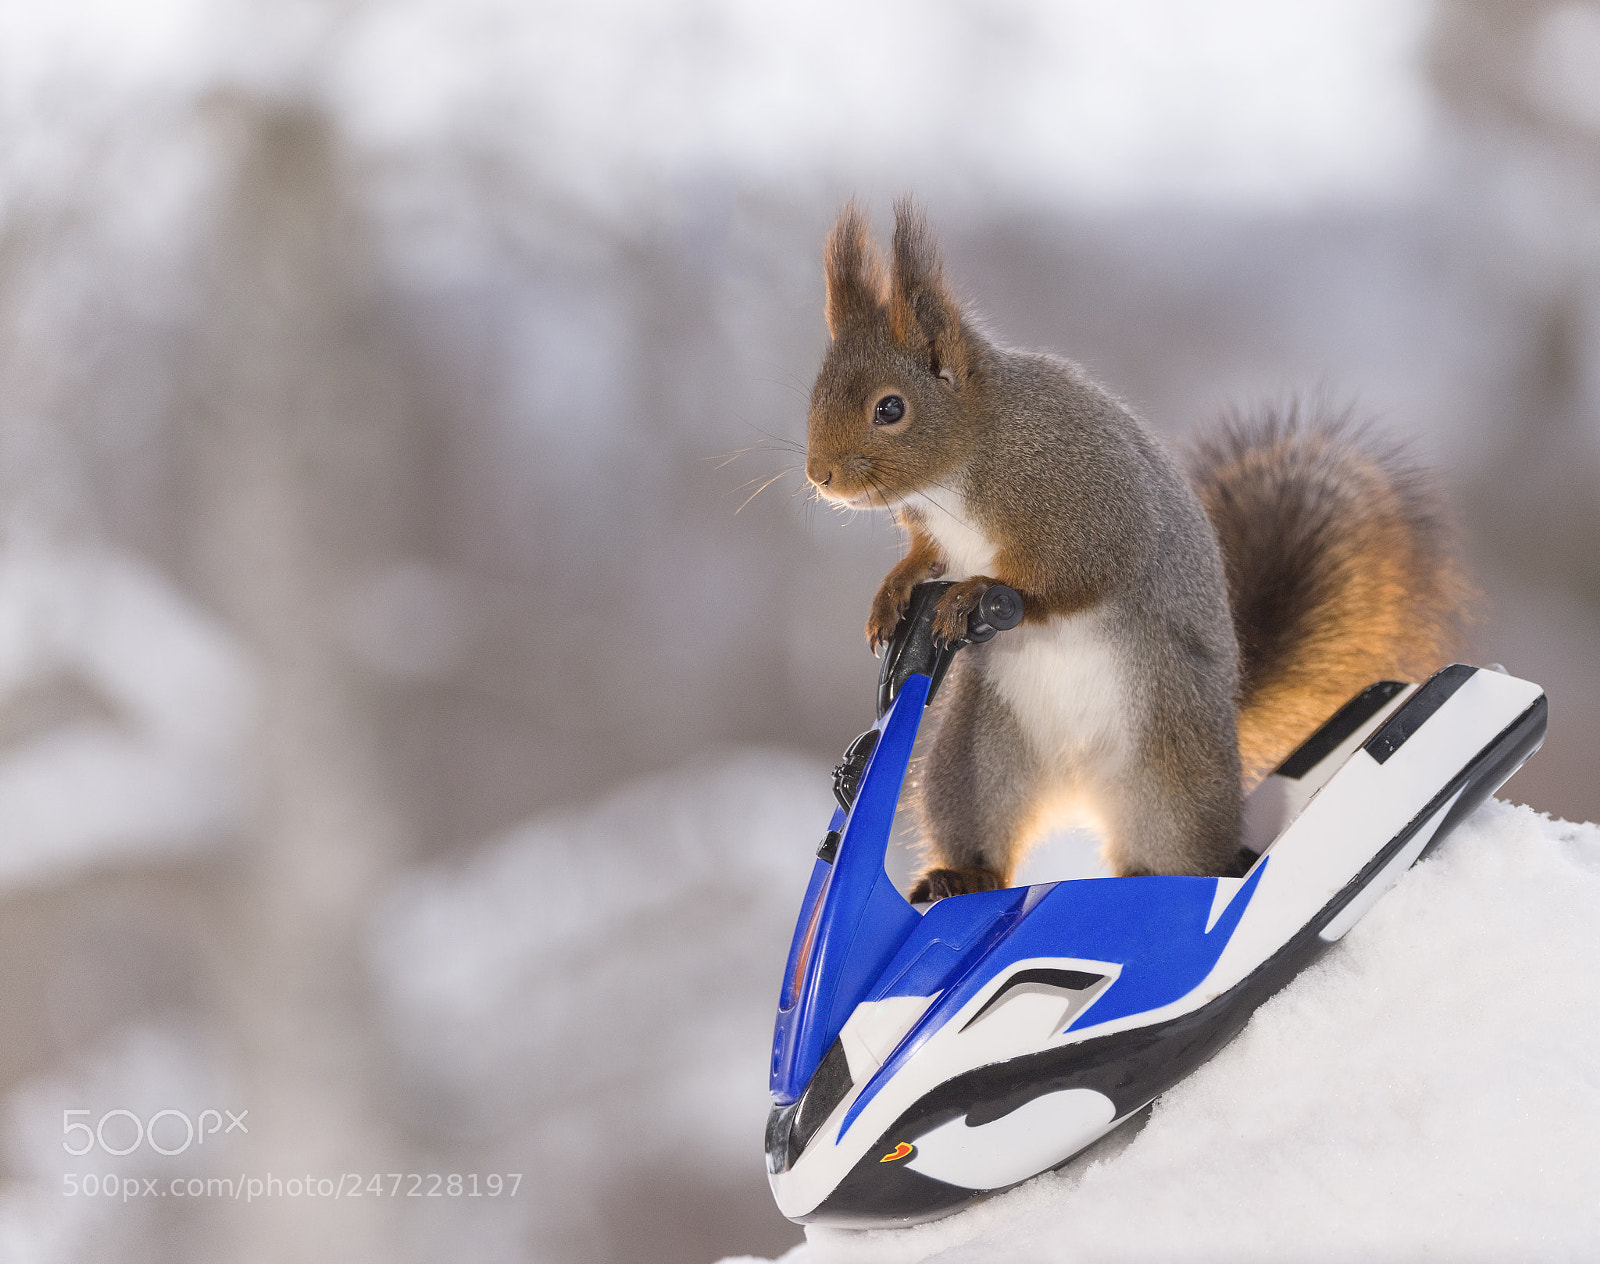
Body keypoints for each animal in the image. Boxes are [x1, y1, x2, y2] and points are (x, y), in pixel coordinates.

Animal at [804, 199, 1466, 899]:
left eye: (890, 409)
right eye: (816, 392)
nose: (820, 476)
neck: (964, 462)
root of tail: (1077, 785)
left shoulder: (1091, 508)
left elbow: (1072, 576)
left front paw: (973, 594)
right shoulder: (936, 536)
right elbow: (922, 560)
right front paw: (891, 596)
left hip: (1172, 783)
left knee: (1178, 856)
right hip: (976, 762)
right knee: (983, 831)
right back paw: (962, 876)